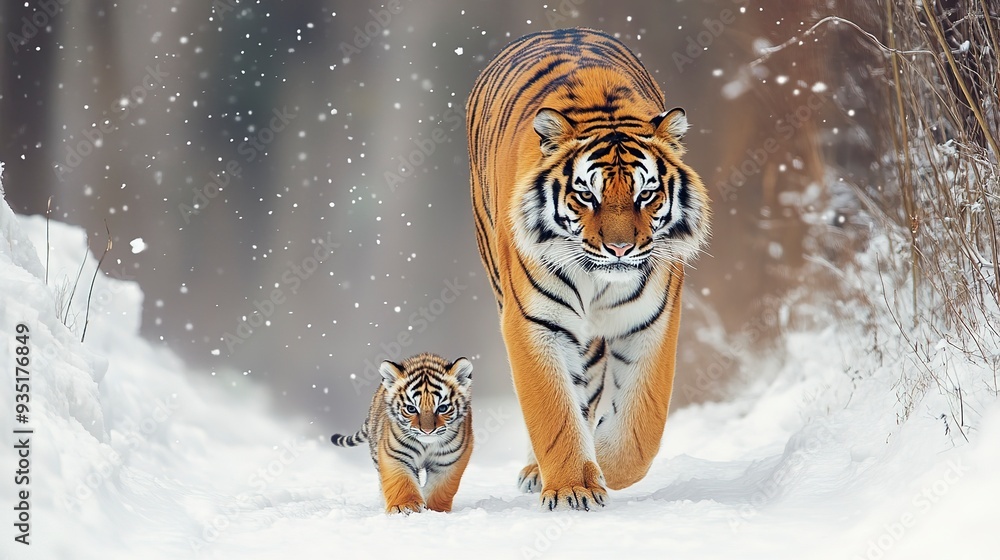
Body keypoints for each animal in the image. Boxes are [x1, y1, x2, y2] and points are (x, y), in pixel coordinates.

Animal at [331, 353, 474, 514]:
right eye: (411, 409)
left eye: (442, 408)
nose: (427, 431)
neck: (427, 445)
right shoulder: (396, 455)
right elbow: (401, 482)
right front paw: (405, 506)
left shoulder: (448, 461)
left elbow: (440, 488)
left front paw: (435, 511)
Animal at [466, 27, 710, 511]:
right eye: (586, 195)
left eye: (645, 194)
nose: (619, 248)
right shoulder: (533, 321)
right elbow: (553, 411)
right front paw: (573, 487)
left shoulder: (652, 320)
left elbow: (641, 422)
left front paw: (606, 466)